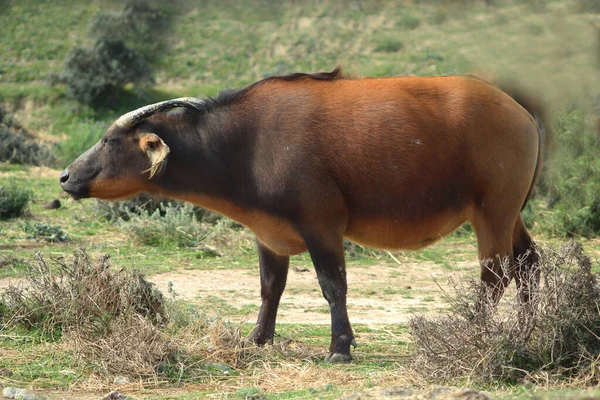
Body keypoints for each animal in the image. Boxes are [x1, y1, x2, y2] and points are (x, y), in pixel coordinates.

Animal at [62, 68, 548, 362]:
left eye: (108, 140)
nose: (66, 176)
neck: (244, 144)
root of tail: (521, 112)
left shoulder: (322, 227)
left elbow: (333, 287)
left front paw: (340, 347)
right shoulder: (268, 235)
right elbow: (270, 289)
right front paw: (258, 339)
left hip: (492, 213)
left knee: (496, 274)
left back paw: (473, 330)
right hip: (510, 216)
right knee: (528, 262)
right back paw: (529, 327)